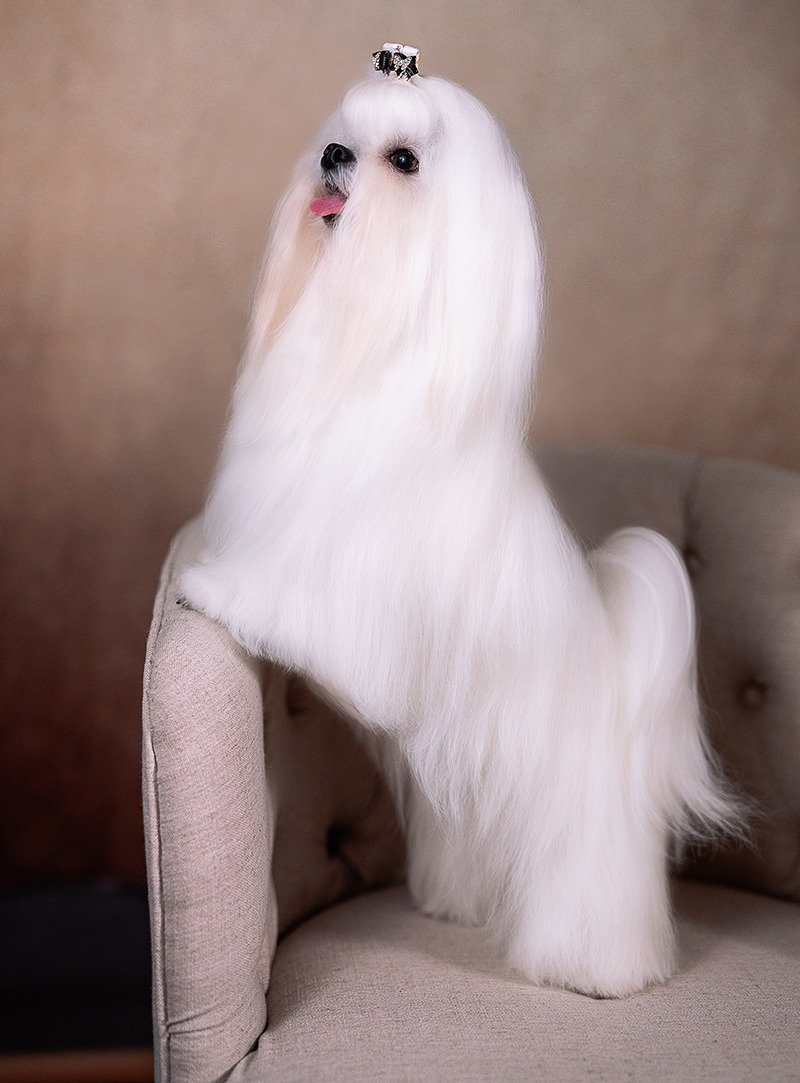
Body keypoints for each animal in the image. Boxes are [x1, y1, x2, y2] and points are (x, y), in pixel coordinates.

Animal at [181, 48, 740, 996]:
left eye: (403, 160)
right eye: (342, 132)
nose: (332, 155)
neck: (368, 347)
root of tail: (615, 667)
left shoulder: (347, 579)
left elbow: (286, 595)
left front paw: (216, 588)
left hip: (573, 813)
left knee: (592, 881)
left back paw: (597, 968)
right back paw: (459, 904)